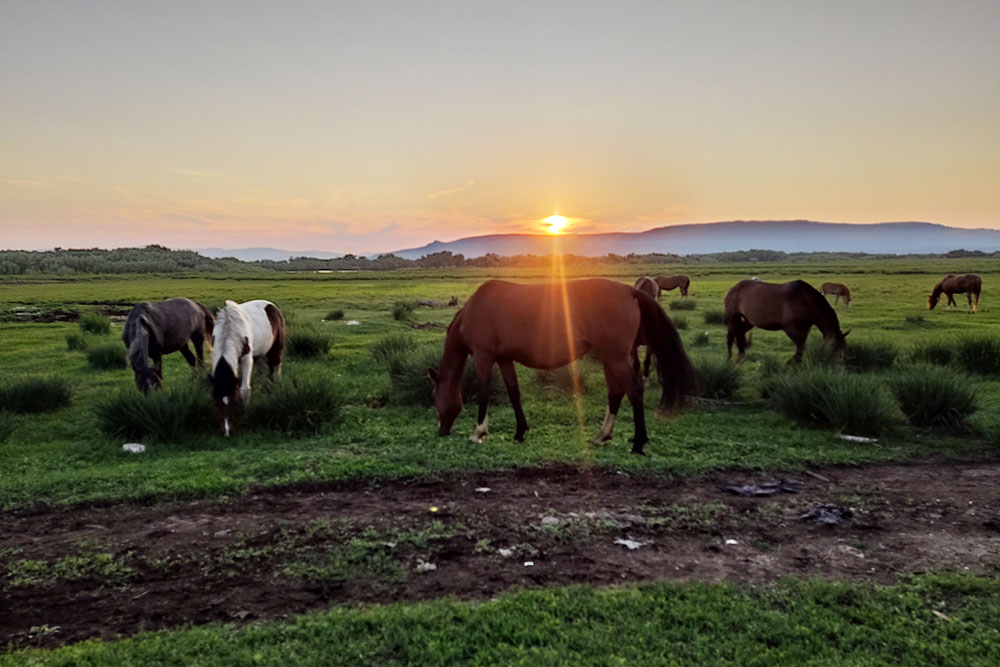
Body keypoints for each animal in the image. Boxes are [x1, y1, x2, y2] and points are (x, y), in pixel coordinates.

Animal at [211, 298, 286, 436]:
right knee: (265, 372)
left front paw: (246, 414)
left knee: (276, 369)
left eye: (234, 401)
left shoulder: (247, 358)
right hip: (260, 355)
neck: (229, 329)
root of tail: (272, 306)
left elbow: (244, 390)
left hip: (275, 350)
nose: (227, 431)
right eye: (216, 404)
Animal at [424, 276, 696, 454]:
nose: (440, 430)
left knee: (633, 390)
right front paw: (520, 432)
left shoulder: (483, 357)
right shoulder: (504, 359)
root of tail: (628, 291)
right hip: (611, 357)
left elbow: (483, 394)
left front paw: (478, 433)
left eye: (435, 396)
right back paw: (602, 436)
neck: (475, 309)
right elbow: (514, 393)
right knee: (616, 392)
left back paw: (638, 442)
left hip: (615, 356)